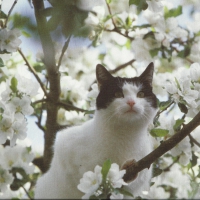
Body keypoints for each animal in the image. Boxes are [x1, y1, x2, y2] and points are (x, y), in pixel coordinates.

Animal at [35, 62, 159, 198]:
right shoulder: (65, 145)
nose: (131, 102)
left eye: (141, 94)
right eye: (117, 94)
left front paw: (127, 169)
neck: (125, 134)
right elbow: (80, 178)